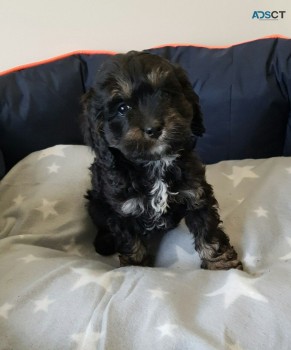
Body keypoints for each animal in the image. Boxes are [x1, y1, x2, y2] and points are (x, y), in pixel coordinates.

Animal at [81, 51, 243, 270]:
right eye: (123, 108)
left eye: (165, 94)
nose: (154, 128)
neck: (156, 163)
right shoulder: (124, 210)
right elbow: (131, 242)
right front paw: (136, 268)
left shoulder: (196, 192)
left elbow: (208, 230)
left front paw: (220, 264)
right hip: (96, 204)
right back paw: (104, 242)